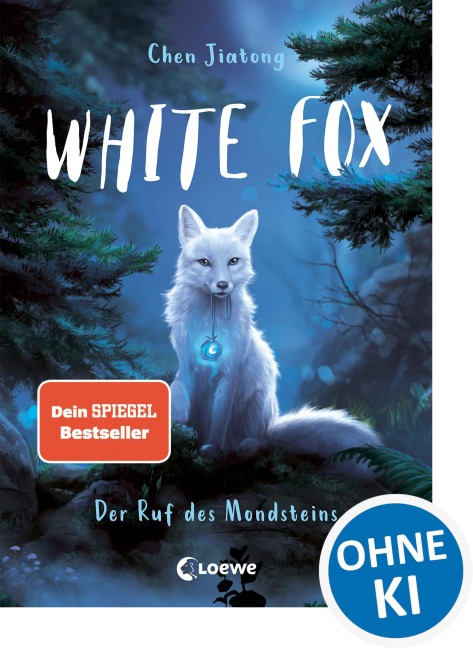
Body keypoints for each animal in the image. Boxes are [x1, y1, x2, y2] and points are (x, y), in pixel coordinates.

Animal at [164, 205, 382, 478]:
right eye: (204, 262)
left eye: (233, 261)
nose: (223, 285)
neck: (210, 323)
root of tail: (273, 424)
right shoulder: (187, 365)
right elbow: (177, 388)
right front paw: (179, 417)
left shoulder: (230, 374)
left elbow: (219, 420)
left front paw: (211, 450)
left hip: (258, 402)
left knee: (260, 441)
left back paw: (245, 446)